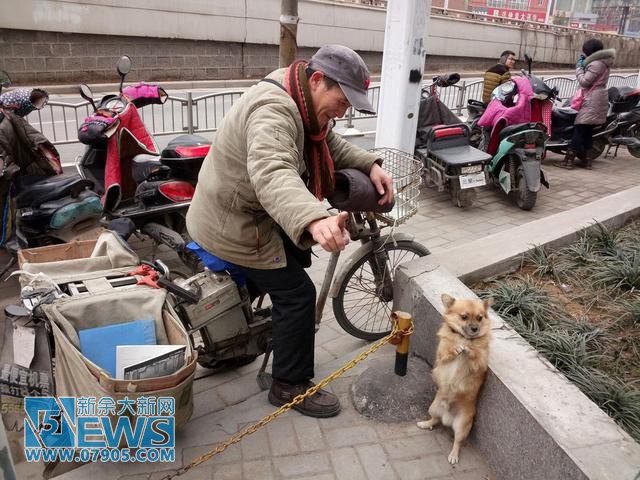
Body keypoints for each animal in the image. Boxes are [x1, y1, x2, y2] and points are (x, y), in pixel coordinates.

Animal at [418, 292, 492, 464]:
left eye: (480, 318)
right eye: (464, 317)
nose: (475, 328)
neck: (464, 338)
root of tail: (447, 418)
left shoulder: (480, 363)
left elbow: (475, 354)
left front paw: (469, 350)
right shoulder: (442, 355)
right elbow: (448, 352)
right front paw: (457, 349)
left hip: (462, 426)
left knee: (457, 442)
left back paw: (453, 455)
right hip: (433, 408)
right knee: (435, 420)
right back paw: (425, 423)